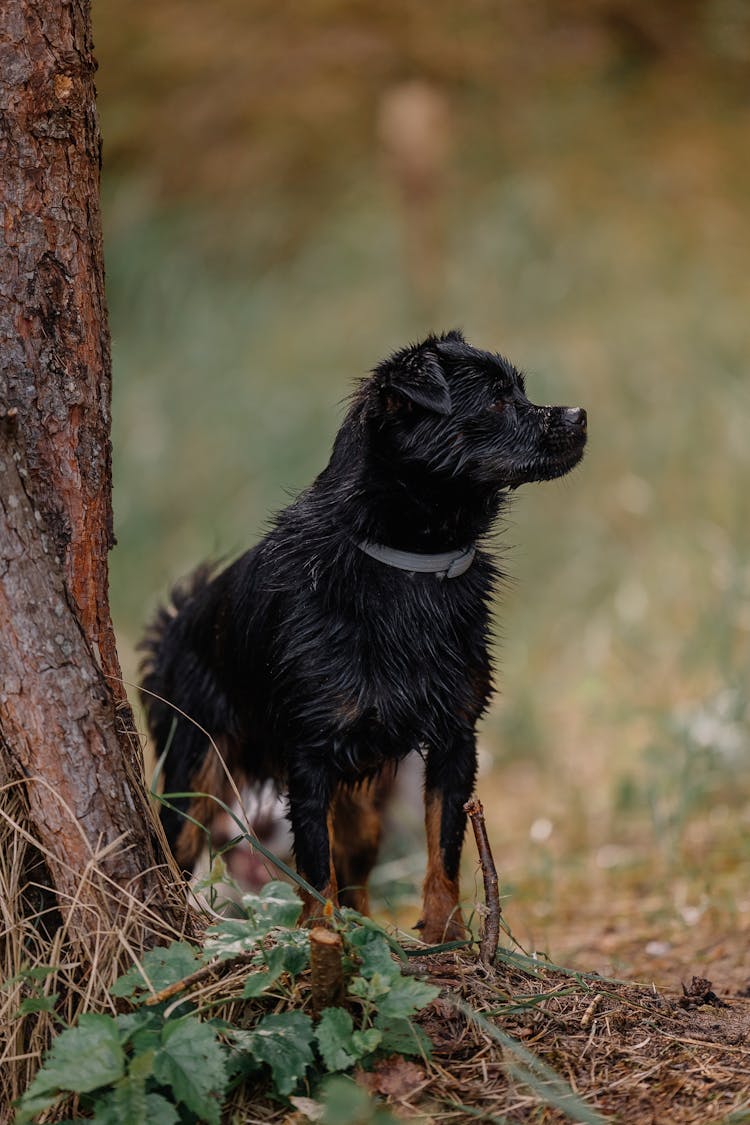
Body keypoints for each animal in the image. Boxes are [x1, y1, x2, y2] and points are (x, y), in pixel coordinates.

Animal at [140, 330, 584, 940]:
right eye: (496, 402)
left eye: (522, 391)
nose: (580, 415)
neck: (412, 563)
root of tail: (179, 616)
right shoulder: (308, 758)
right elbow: (315, 867)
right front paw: (322, 939)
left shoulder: (455, 739)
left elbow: (444, 849)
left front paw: (447, 937)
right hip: (197, 771)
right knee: (179, 849)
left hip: (361, 800)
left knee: (357, 867)